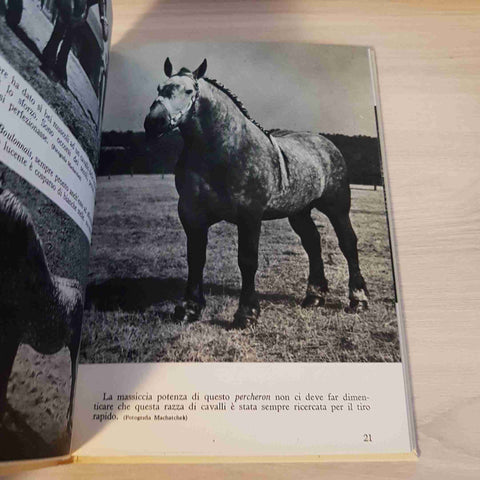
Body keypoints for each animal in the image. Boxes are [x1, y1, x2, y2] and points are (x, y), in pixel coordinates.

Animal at [142, 59, 368, 330]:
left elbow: (247, 260)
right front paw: (189, 309)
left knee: (348, 243)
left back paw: (358, 299)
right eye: (159, 88)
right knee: (312, 243)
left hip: (337, 207)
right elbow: (196, 258)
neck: (226, 151)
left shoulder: (249, 216)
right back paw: (314, 296)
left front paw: (247, 313)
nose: (154, 122)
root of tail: (327, 144)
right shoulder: (192, 215)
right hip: (299, 211)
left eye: (188, 91)